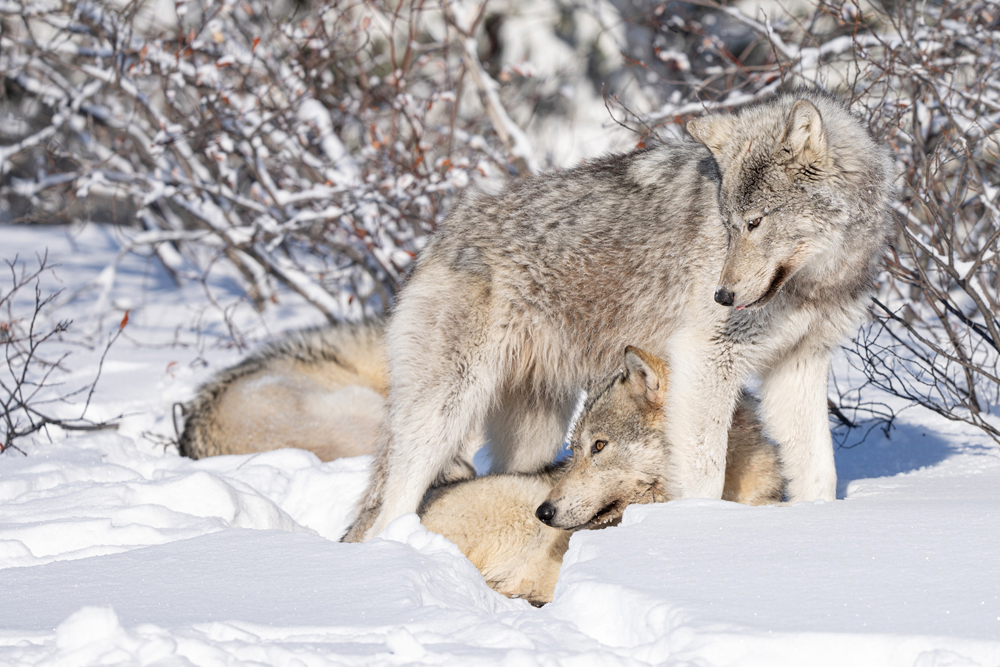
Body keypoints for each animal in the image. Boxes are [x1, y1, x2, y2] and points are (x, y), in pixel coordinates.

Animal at [346, 90, 900, 544]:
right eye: (728, 226)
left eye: (755, 223)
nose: (722, 295)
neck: (814, 282)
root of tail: (440, 236)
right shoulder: (705, 362)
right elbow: (704, 473)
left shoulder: (800, 363)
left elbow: (819, 473)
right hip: (446, 412)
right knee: (391, 505)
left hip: (535, 432)